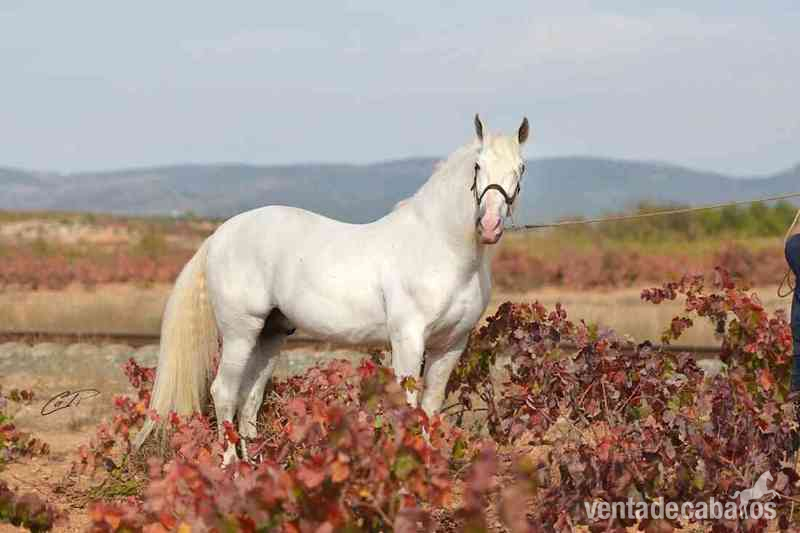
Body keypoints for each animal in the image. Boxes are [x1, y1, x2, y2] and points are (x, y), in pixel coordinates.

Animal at [133, 114, 531, 464]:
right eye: (477, 166)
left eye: (521, 168)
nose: (490, 225)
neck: (440, 247)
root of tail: (219, 236)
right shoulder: (408, 338)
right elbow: (408, 405)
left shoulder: (451, 344)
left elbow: (430, 407)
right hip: (239, 332)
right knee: (224, 392)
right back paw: (230, 464)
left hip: (270, 335)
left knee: (250, 396)